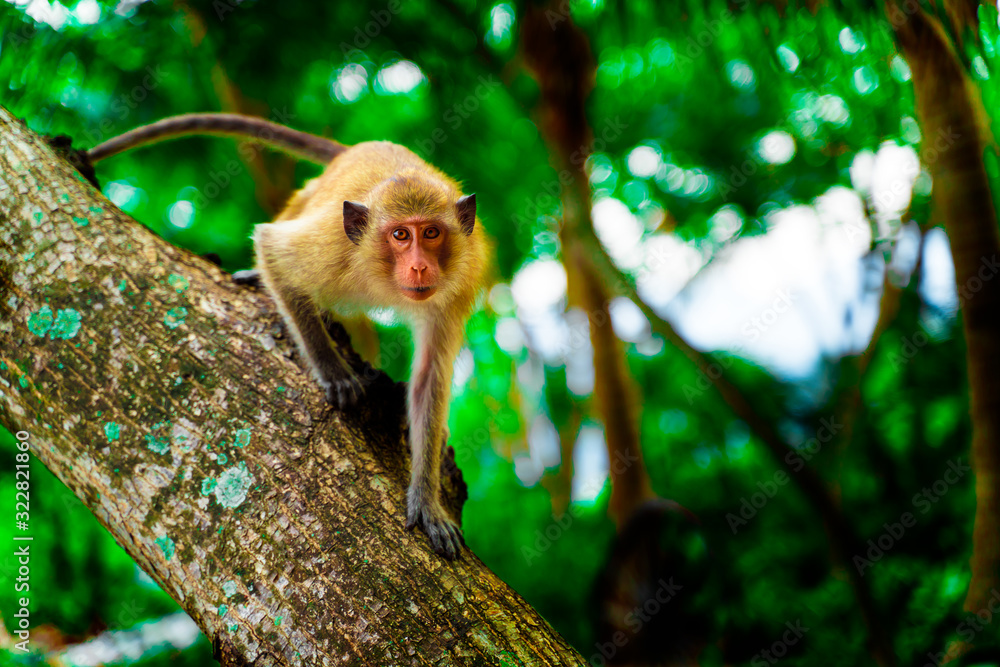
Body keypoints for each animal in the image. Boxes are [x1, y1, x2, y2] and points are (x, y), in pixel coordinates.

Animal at [90, 115, 488, 560]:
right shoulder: (333, 245)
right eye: (401, 235)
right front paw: (334, 372)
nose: (419, 267)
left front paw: (426, 499)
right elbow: (274, 251)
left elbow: (427, 383)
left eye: (431, 233)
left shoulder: (456, 285)